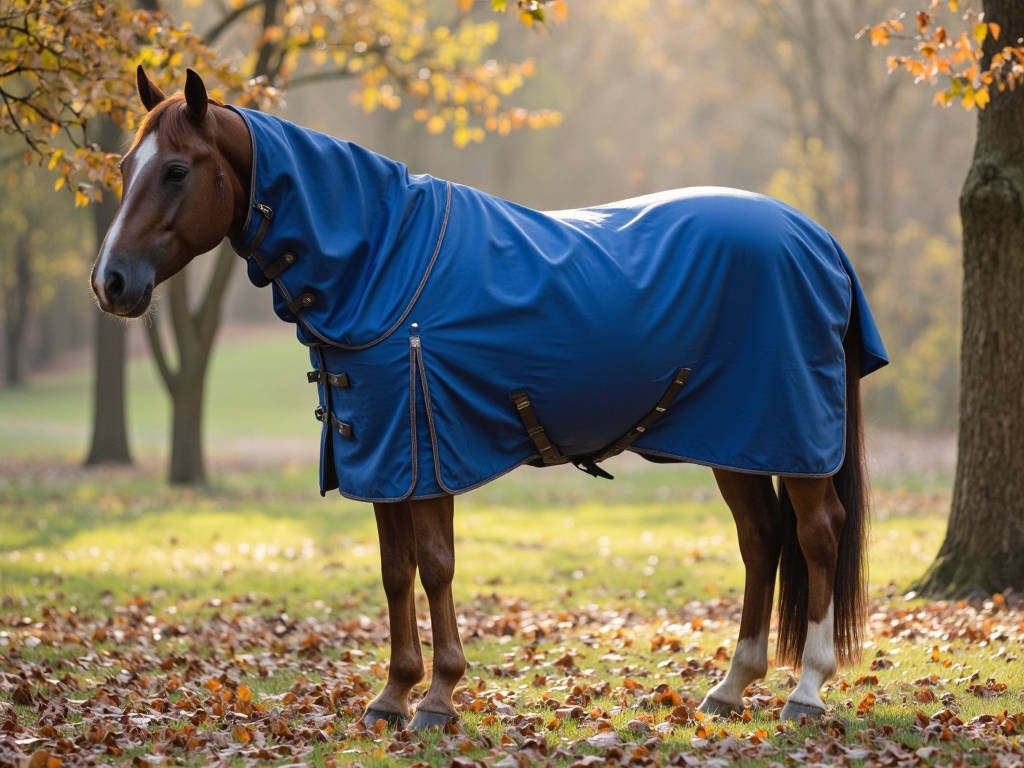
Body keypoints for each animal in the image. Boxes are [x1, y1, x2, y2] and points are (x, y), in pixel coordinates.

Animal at [90, 67, 888, 731]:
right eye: (125, 166)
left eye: (175, 169)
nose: (111, 283)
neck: (385, 262)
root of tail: (819, 241)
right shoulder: (382, 458)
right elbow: (395, 571)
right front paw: (392, 695)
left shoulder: (427, 451)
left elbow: (436, 564)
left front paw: (438, 698)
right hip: (738, 441)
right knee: (762, 539)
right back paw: (730, 687)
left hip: (793, 437)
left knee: (817, 536)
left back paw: (806, 690)